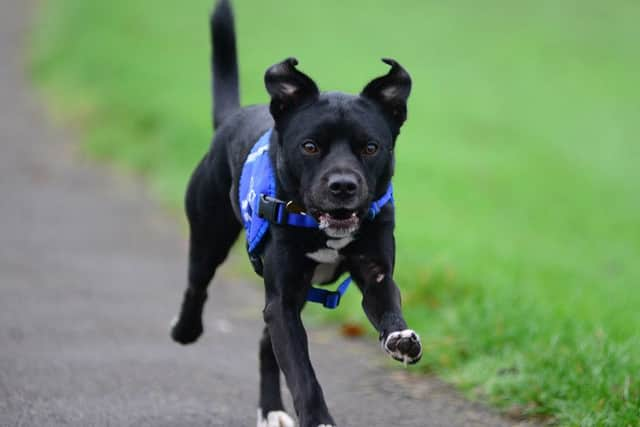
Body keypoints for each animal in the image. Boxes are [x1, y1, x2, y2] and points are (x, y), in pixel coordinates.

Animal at [171, 1, 420, 426]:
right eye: (310, 146)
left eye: (370, 147)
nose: (343, 186)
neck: (323, 229)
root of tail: (232, 118)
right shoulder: (283, 301)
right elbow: (303, 373)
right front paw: (318, 418)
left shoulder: (374, 275)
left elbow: (387, 305)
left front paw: (399, 338)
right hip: (209, 234)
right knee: (197, 282)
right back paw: (185, 329)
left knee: (263, 345)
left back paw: (271, 409)